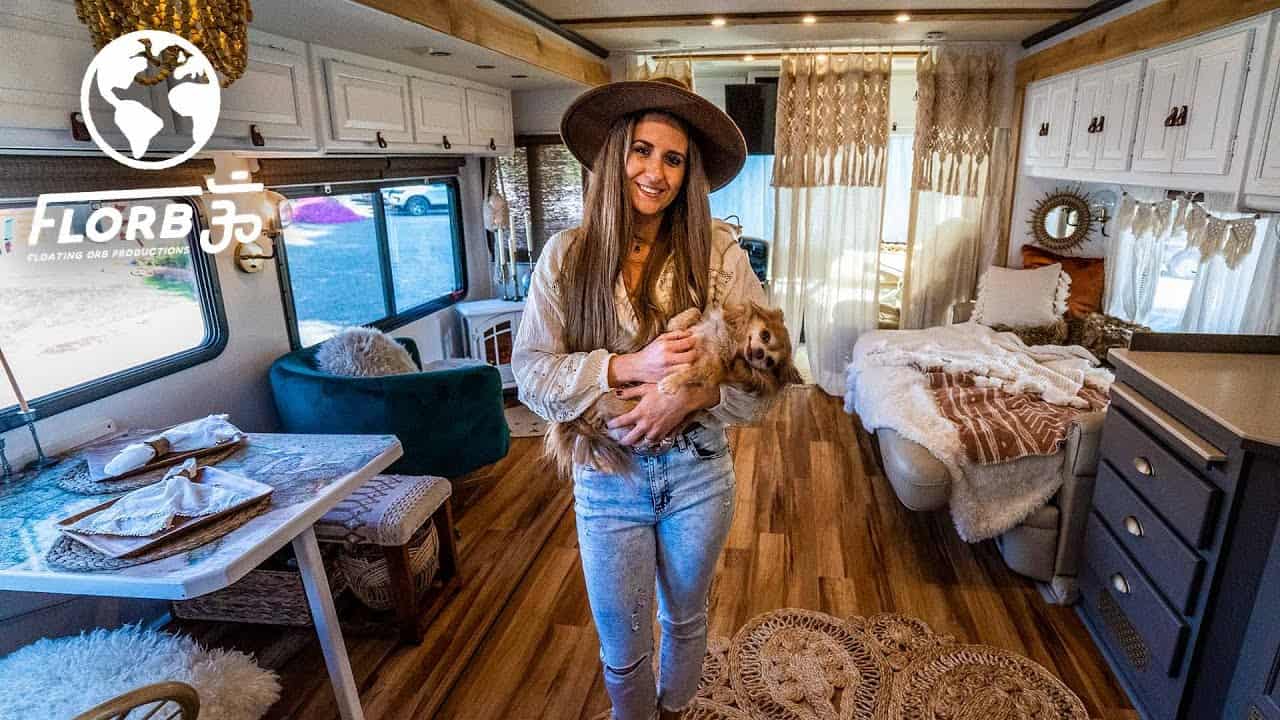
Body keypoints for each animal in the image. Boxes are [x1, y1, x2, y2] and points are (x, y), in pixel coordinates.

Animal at [542, 301, 798, 476]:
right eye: (765, 335)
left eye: (770, 363)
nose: (759, 355)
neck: (732, 338)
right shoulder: (685, 333)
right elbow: (693, 313)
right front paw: (680, 319)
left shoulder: (711, 368)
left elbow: (692, 373)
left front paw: (670, 383)